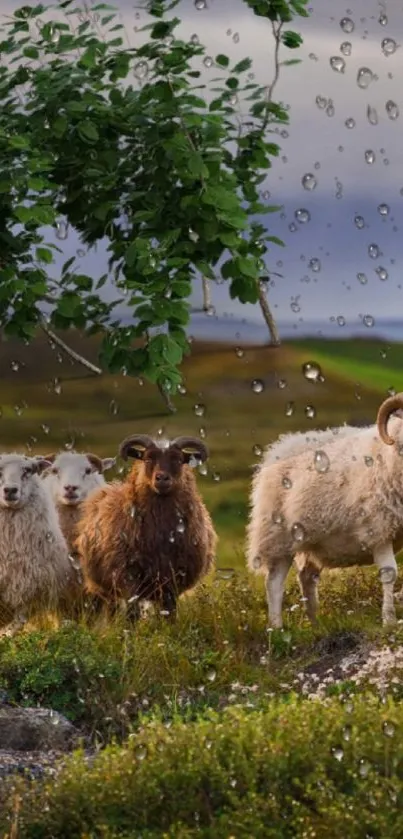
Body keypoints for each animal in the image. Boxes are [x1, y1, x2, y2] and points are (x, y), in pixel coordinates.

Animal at [75, 436, 218, 620]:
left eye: (179, 460)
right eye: (148, 459)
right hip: (104, 586)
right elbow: (132, 611)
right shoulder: (128, 574)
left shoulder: (172, 578)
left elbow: (169, 611)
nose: (162, 478)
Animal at [246, 396, 403, 632]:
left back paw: (315, 624)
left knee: (306, 577)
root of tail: (279, 447)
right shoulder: (378, 527)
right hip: (277, 535)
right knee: (274, 582)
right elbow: (389, 573)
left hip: (312, 541)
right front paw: (389, 621)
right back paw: (277, 628)